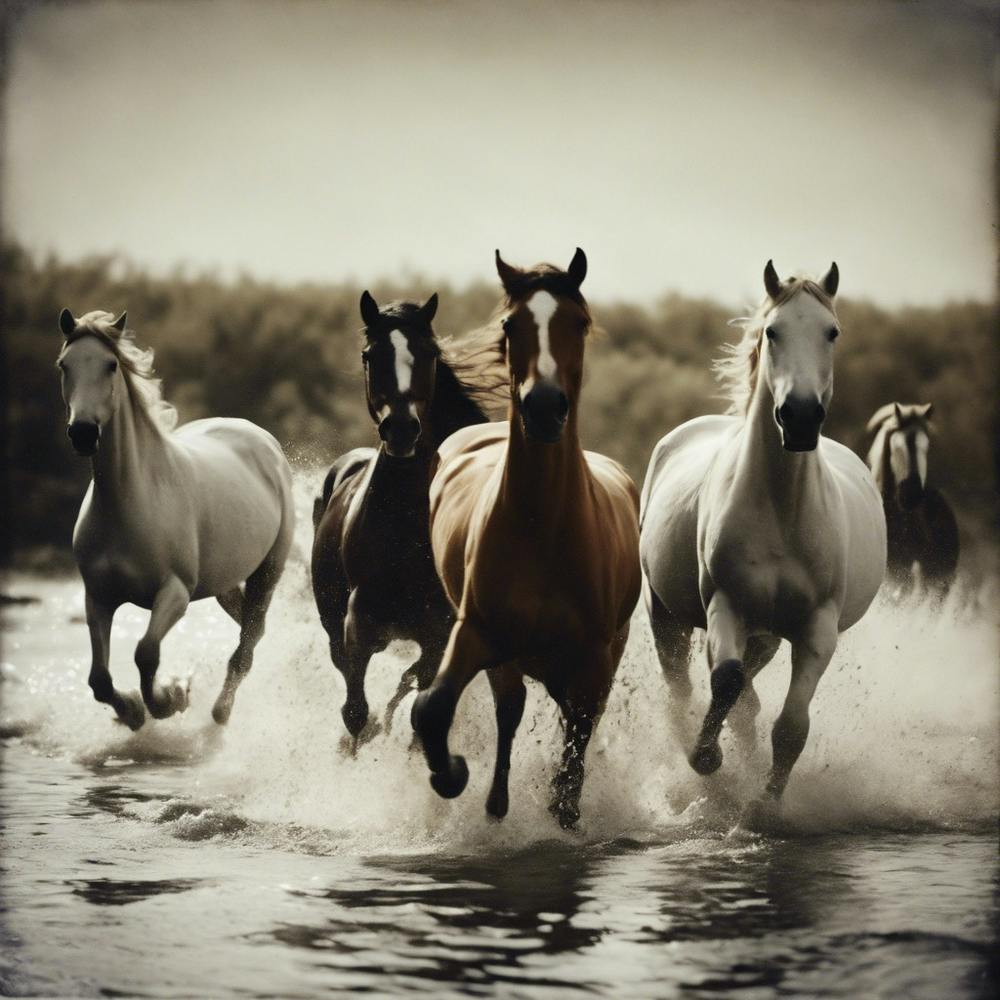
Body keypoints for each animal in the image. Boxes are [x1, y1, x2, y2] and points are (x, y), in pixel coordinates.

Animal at [56, 309, 295, 730]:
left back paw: (220, 711)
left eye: (111, 365)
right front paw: (133, 711)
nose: (83, 433)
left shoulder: (175, 593)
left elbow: (146, 652)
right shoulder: (98, 597)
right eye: (64, 365)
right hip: (223, 582)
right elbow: (98, 679)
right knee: (251, 628)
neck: (129, 502)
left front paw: (169, 700)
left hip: (267, 571)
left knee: (247, 643)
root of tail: (262, 439)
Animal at [311, 291, 501, 747]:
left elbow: (419, 702)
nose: (400, 430)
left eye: (428, 353)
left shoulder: (438, 634)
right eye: (370, 354)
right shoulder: (358, 622)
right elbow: (355, 710)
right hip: (332, 620)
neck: (406, 527)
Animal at [411, 249, 641, 829]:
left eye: (578, 322)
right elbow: (432, 709)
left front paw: (564, 805)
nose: (542, 407)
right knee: (510, 707)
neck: (545, 528)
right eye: (511, 325)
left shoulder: (593, 659)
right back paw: (495, 801)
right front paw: (452, 775)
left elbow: (578, 739)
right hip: (510, 656)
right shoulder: (476, 632)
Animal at [639, 261, 886, 814]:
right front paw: (706, 759)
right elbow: (726, 684)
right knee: (684, 689)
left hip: (768, 635)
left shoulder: (817, 629)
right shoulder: (725, 606)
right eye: (772, 331)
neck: (781, 508)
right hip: (667, 615)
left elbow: (790, 725)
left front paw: (765, 804)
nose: (800, 416)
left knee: (748, 701)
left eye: (832, 332)